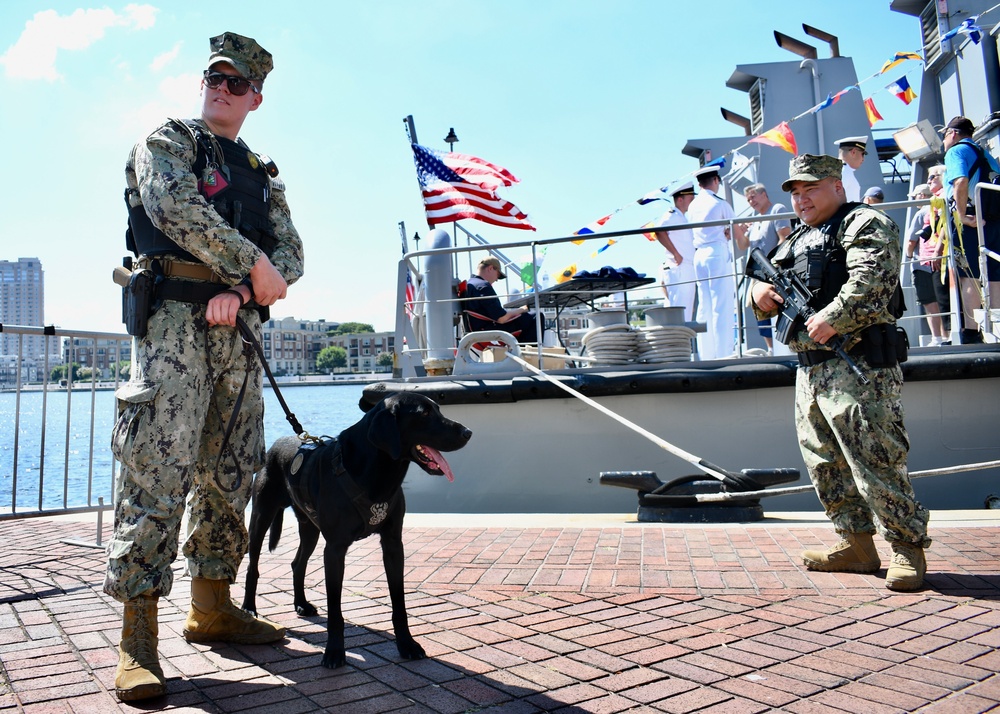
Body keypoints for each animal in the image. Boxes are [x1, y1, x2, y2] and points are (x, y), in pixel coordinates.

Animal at [244, 392, 474, 664]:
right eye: (424, 413)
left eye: (438, 409)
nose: (468, 432)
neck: (378, 475)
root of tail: (276, 444)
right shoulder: (334, 549)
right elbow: (335, 610)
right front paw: (334, 651)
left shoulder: (393, 544)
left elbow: (399, 603)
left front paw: (406, 644)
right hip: (261, 517)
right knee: (253, 567)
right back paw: (248, 609)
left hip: (309, 528)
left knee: (297, 564)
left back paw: (301, 603)